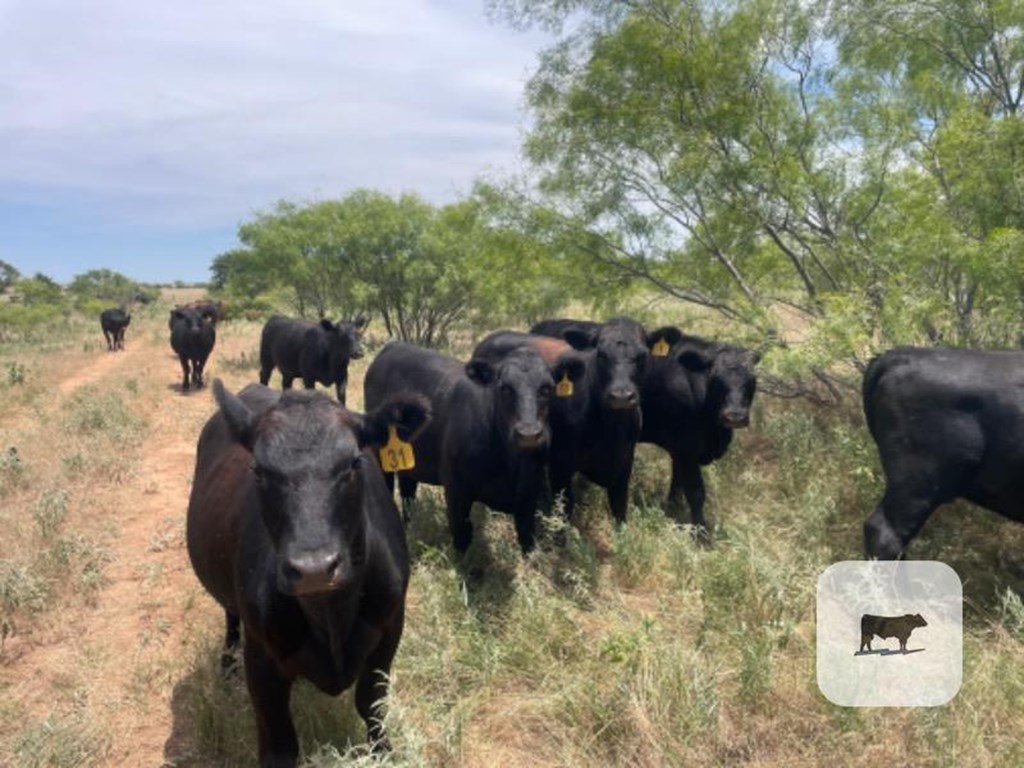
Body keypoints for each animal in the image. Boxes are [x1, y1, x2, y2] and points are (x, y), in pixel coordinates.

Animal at [187, 382, 428, 765]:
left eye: (354, 463)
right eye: (258, 469)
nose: (314, 569)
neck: (330, 615)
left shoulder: (390, 626)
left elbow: (371, 702)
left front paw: (384, 752)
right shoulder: (262, 659)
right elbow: (280, 745)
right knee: (230, 615)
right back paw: (226, 665)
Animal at [364, 342, 581, 552]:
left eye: (547, 388)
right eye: (504, 388)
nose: (528, 433)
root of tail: (393, 347)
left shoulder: (529, 495)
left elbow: (527, 539)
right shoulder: (456, 492)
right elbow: (462, 535)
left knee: (408, 492)